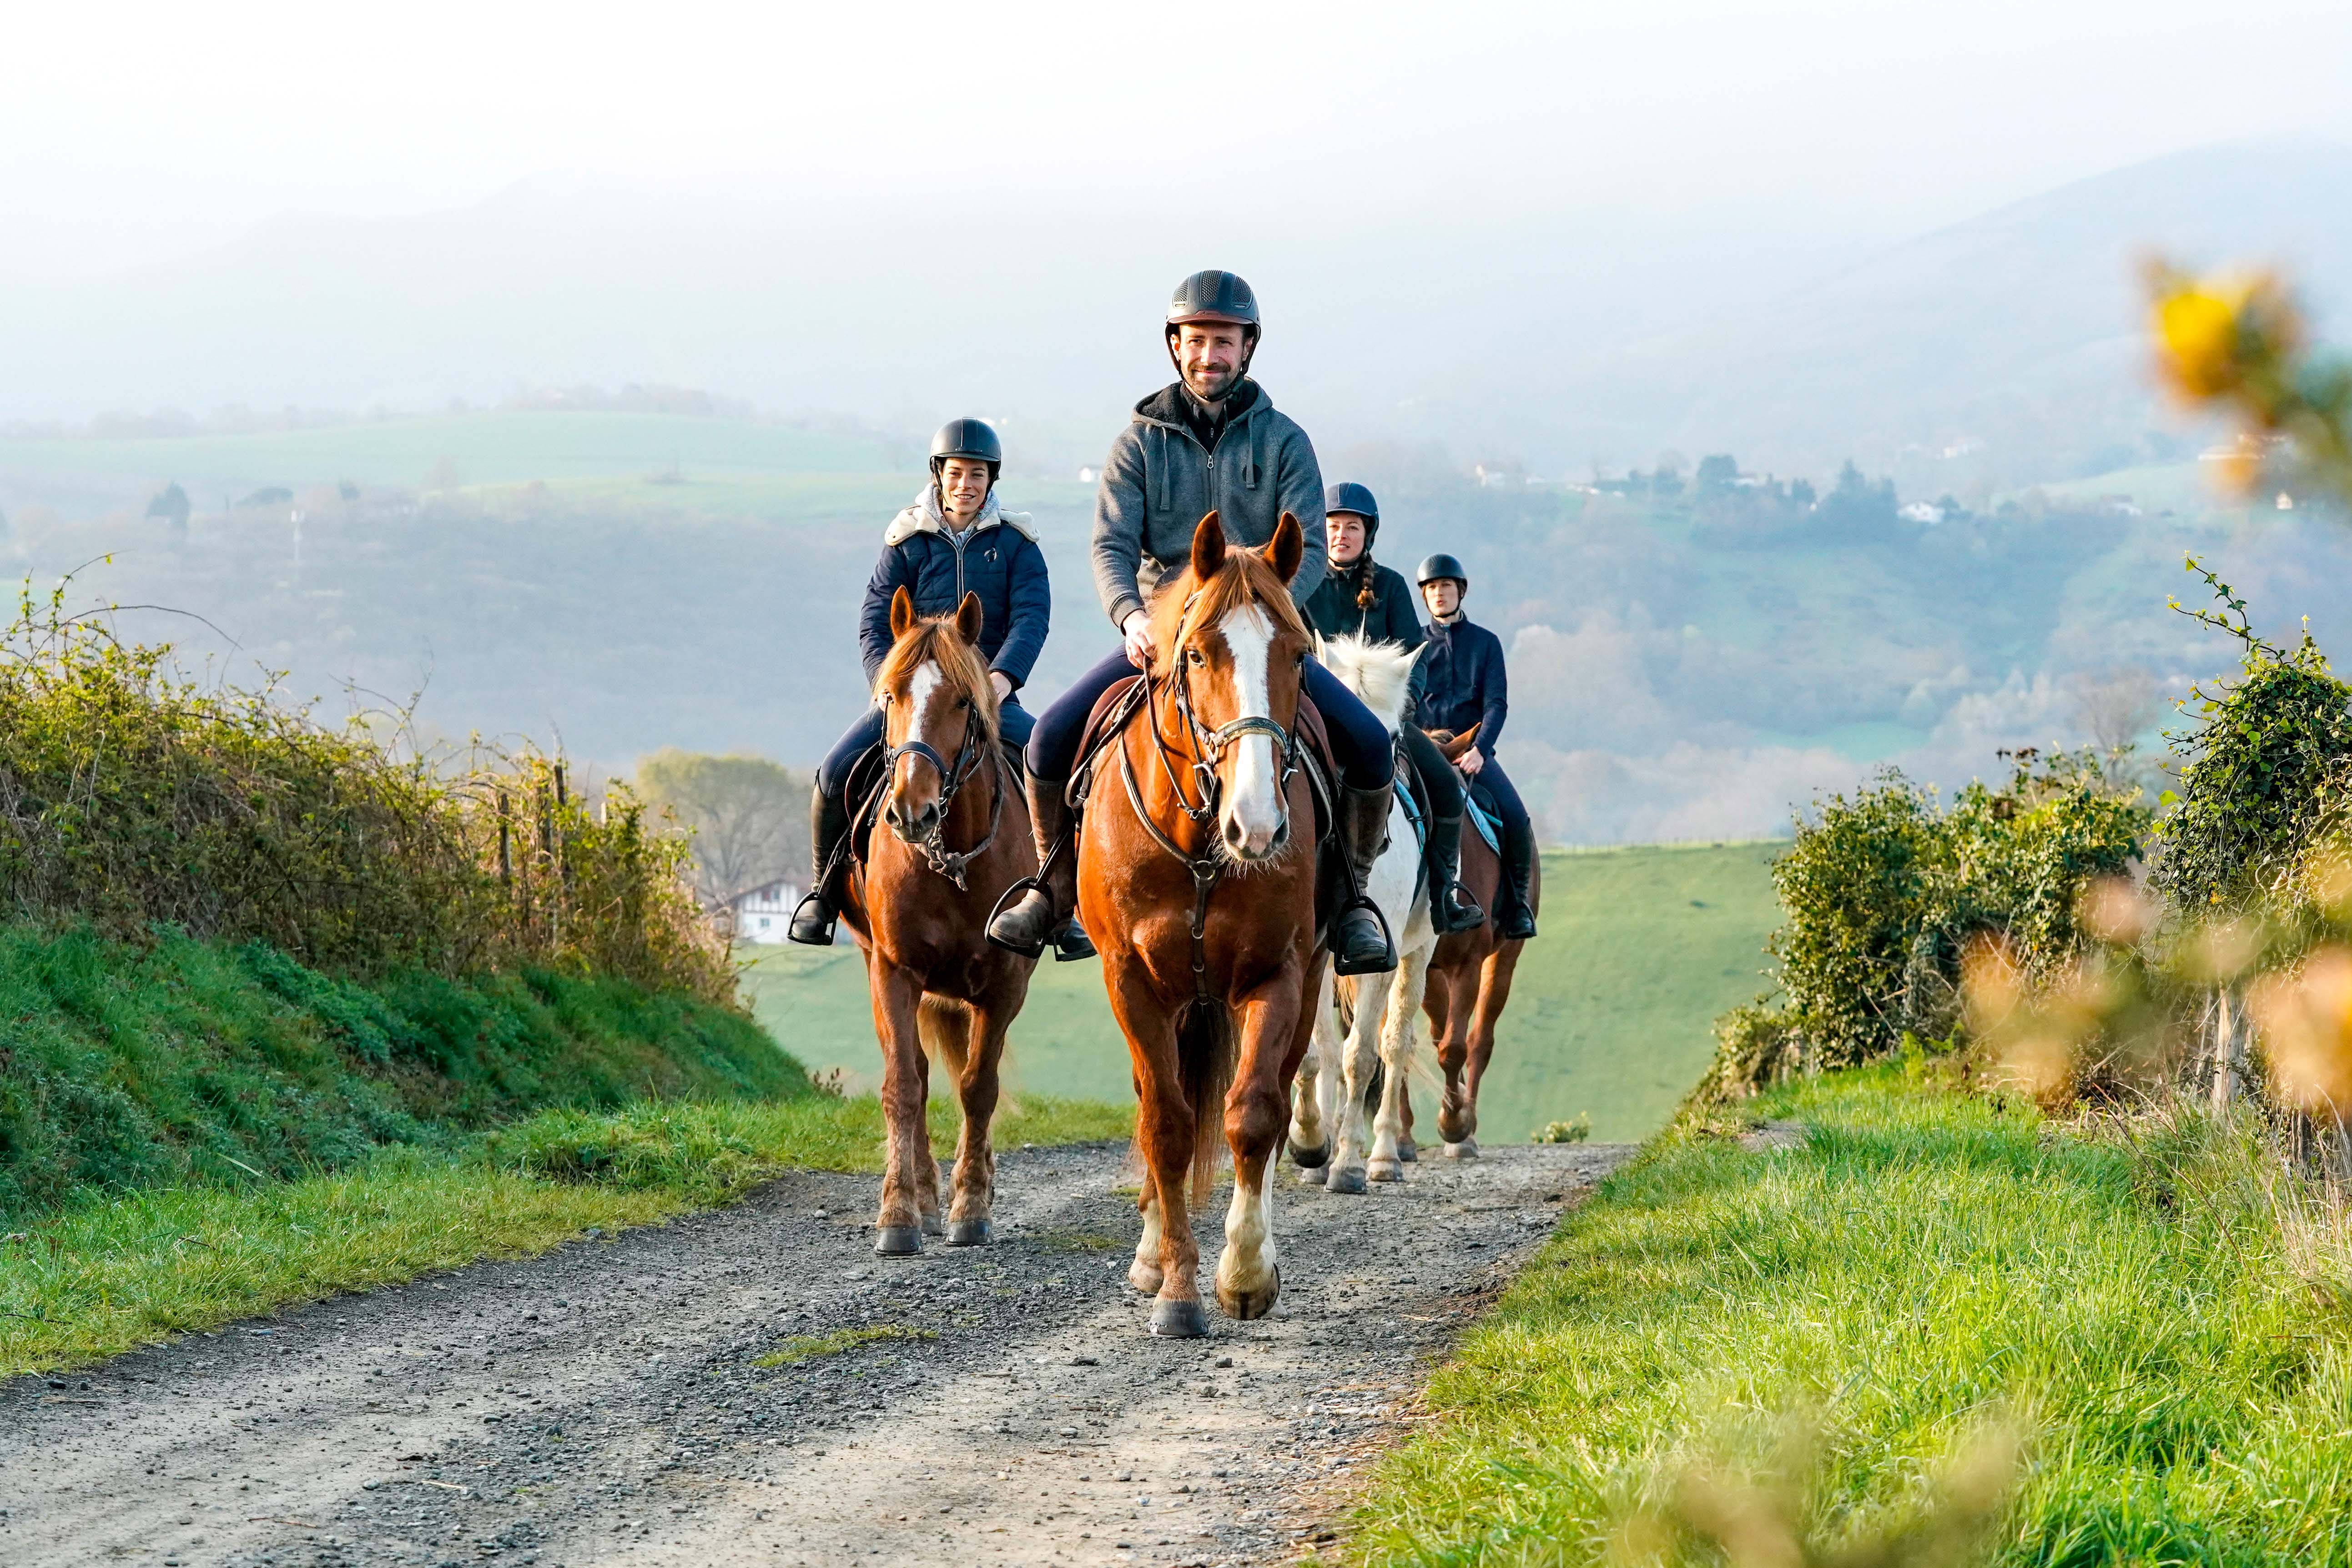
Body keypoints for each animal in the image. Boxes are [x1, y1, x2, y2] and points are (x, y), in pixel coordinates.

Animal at [837, 585, 1039, 1251]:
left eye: (961, 700)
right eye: (892, 696)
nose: (910, 811)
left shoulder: (1004, 983)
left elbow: (979, 1087)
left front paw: (971, 1206)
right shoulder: (895, 971)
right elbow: (905, 1084)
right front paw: (900, 1213)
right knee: (917, 1078)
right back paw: (924, 1195)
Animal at [1077, 512, 1326, 1335]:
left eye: (1297, 655)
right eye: (1194, 653)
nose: (1258, 825)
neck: (1199, 847)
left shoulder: (1275, 973)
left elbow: (1251, 1114)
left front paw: (1244, 1274)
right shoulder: (1132, 982)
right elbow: (1168, 1124)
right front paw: (1178, 1290)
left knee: (1272, 1101)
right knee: (1161, 1104)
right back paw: (1153, 1252)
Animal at [1411, 729, 1543, 1161]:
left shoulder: (1468, 964)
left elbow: (1455, 1048)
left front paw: (1456, 1125)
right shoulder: (1426, 966)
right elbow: (1441, 1040)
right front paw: (1451, 1115)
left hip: (1503, 958)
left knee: (1480, 1039)